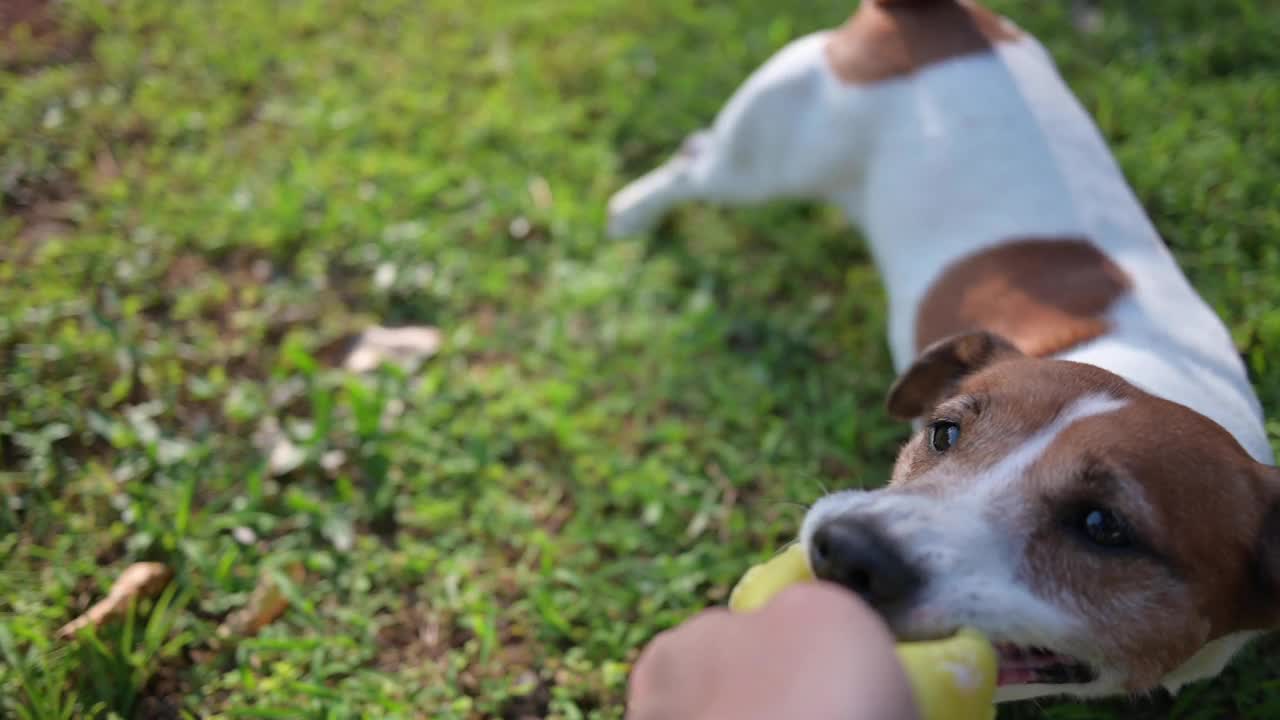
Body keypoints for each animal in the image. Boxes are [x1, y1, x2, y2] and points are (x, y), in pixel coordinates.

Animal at [609, 0, 1280, 702]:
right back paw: (632, 211)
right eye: (944, 433)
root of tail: (936, 17)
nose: (847, 548)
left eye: (1102, 527)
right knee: (697, 159)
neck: (1154, 374)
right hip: (764, 158)